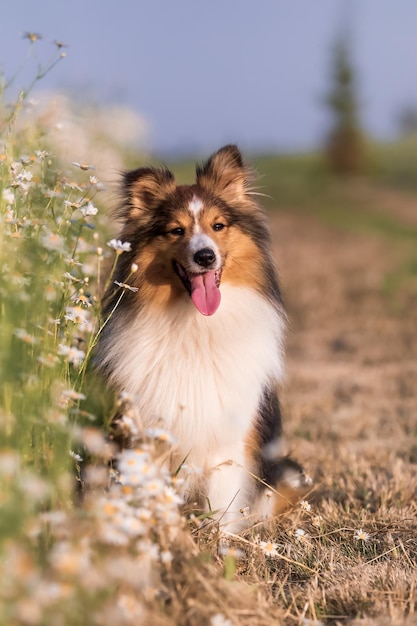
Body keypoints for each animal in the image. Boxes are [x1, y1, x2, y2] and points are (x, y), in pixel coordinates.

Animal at [96, 145, 308, 528]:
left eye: (218, 226)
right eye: (176, 231)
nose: (205, 256)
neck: (196, 324)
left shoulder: (230, 439)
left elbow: (223, 509)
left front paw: (223, 542)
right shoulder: (148, 434)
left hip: (285, 473)